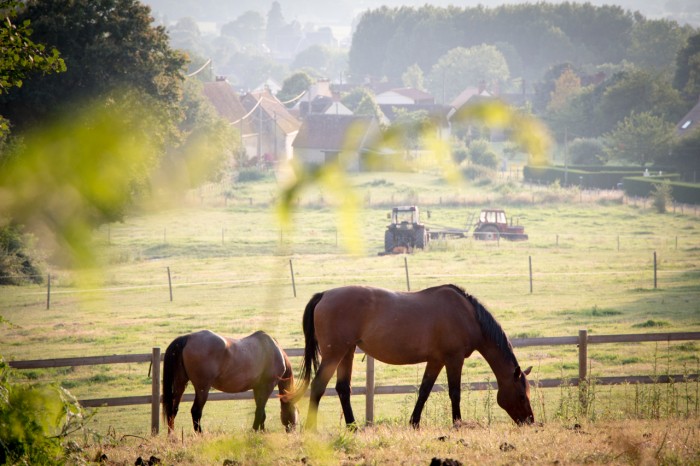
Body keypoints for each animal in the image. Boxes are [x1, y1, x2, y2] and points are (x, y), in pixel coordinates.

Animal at [162, 332, 298, 434]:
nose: (293, 430)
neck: (273, 350)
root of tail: (188, 338)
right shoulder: (267, 386)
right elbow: (259, 411)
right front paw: (254, 431)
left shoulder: (257, 388)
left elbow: (262, 412)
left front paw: (261, 431)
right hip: (202, 388)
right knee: (196, 411)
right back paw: (200, 434)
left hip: (180, 384)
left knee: (173, 409)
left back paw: (172, 436)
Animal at [282, 284, 532, 430]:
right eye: (521, 395)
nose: (530, 421)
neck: (467, 314)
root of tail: (324, 295)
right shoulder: (454, 358)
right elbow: (455, 393)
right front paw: (457, 423)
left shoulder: (436, 360)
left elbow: (424, 391)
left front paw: (414, 423)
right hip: (334, 354)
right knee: (318, 386)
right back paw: (312, 429)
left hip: (347, 352)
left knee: (343, 389)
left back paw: (353, 427)